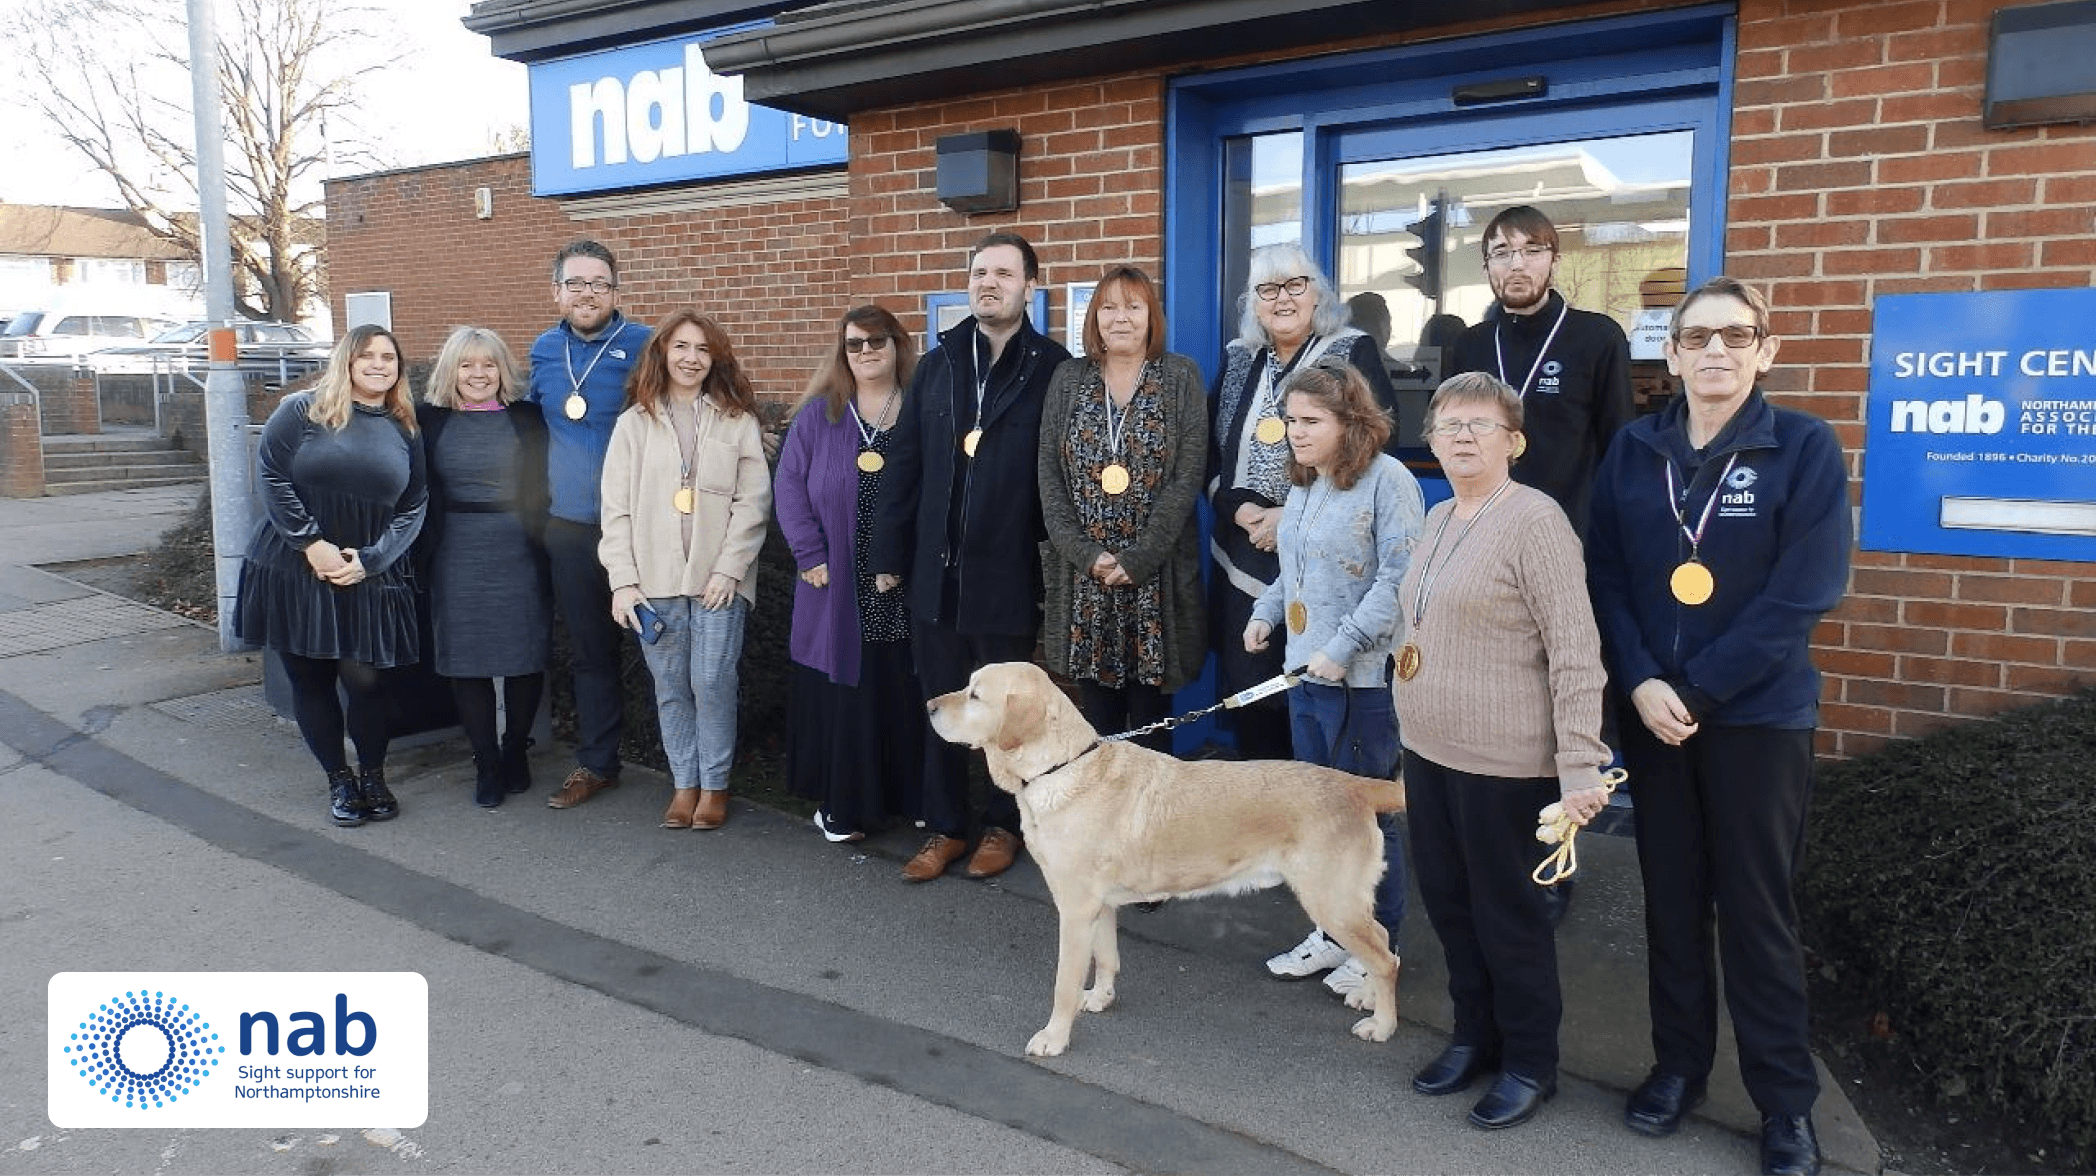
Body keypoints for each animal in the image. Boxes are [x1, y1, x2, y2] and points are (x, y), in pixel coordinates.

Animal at [930, 662, 1391, 1056]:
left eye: (975, 694)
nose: (929, 705)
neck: (1059, 769)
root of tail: (1354, 784)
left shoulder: (1075, 909)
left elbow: (1064, 983)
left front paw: (1054, 1038)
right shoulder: (1101, 905)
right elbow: (1107, 958)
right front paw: (1100, 998)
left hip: (1332, 903)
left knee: (1387, 960)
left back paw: (1383, 1025)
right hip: (1347, 903)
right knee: (1384, 942)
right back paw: (1369, 998)